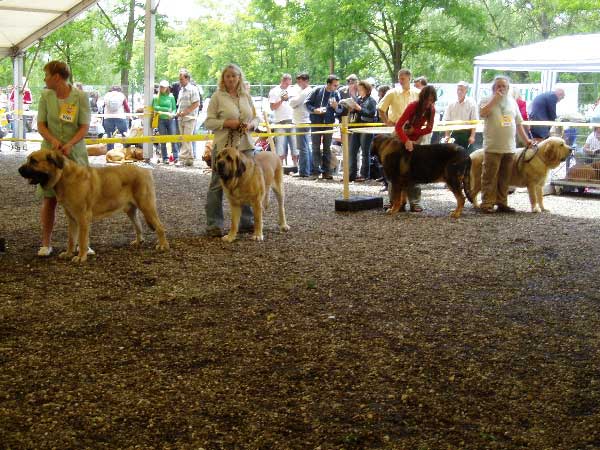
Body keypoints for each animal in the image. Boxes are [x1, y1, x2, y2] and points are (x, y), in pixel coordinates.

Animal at [19, 149, 169, 262]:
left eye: (34, 161)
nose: (19, 170)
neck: (64, 177)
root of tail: (145, 171)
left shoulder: (82, 217)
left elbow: (82, 239)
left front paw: (81, 257)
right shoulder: (71, 218)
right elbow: (71, 239)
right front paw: (68, 253)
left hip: (147, 206)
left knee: (160, 227)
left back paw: (163, 245)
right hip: (131, 210)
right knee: (138, 227)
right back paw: (138, 242)